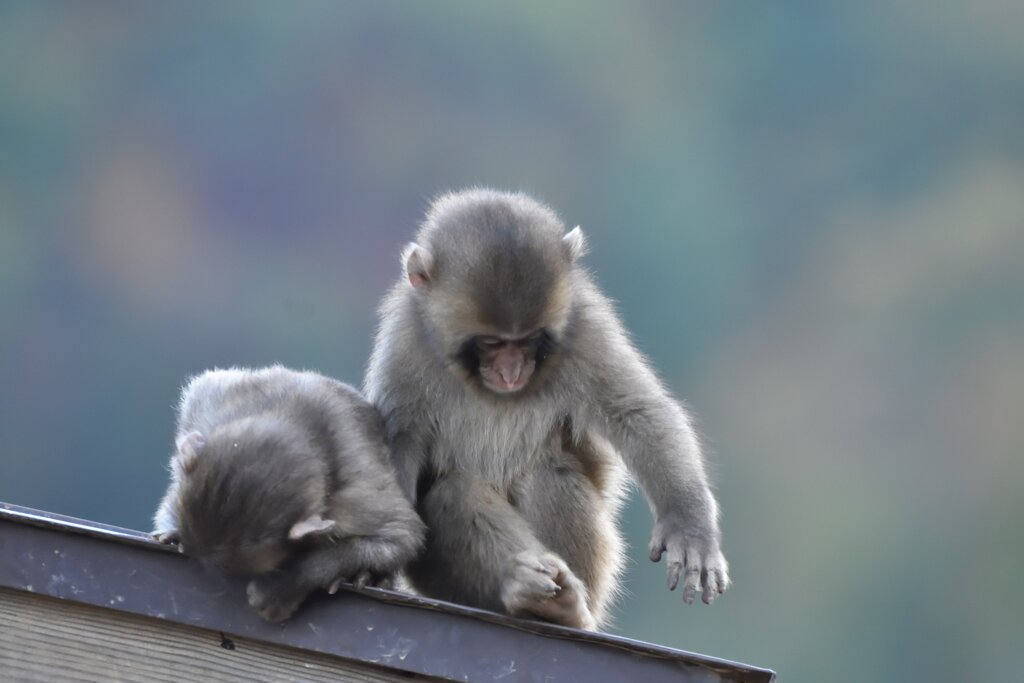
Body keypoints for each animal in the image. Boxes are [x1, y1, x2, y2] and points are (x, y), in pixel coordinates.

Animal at [364, 187, 733, 630]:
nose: (511, 372)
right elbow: (399, 440)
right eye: (491, 343)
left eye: (528, 341)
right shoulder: (405, 340)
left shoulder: (584, 324)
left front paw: (689, 527)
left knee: (548, 475)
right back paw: (522, 584)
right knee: (453, 493)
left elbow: (638, 413)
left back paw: (565, 606)